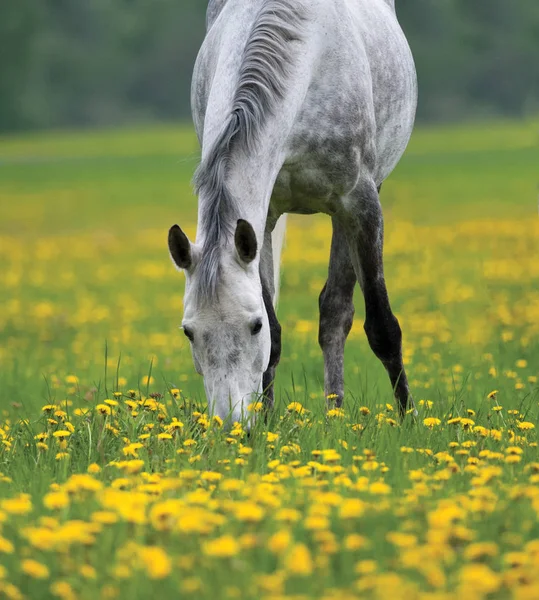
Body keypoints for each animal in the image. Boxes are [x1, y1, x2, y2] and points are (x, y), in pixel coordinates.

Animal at [169, 0, 418, 424]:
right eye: (189, 331)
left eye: (253, 327)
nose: (230, 423)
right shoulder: (262, 218)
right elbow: (277, 335)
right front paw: (266, 422)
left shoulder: (361, 203)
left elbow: (382, 327)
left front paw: (409, 419)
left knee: (336, 312)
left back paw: (336, 413)